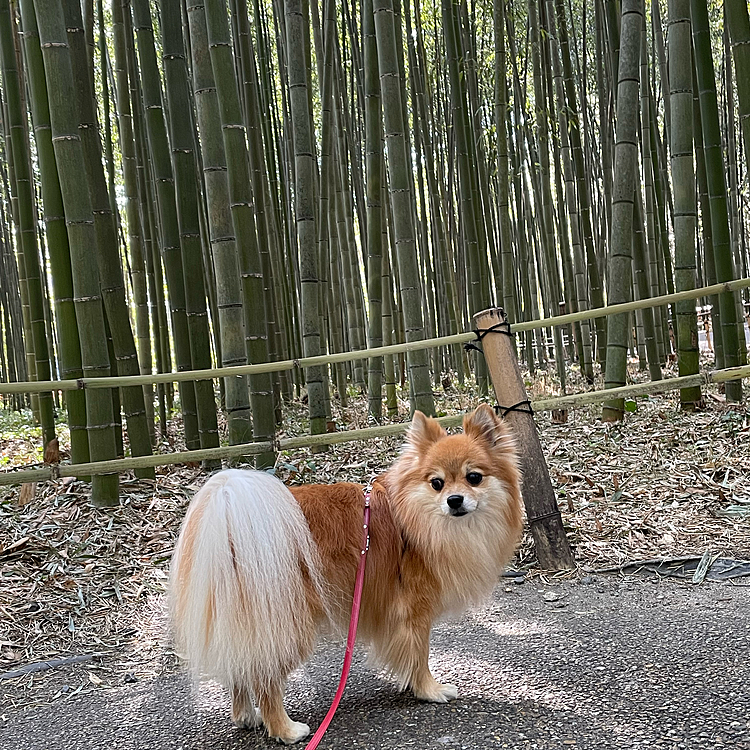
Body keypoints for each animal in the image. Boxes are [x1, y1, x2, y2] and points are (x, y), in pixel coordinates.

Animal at [170, 402, 524, 744]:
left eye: (474, 477)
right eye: (436, 483)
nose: (454, 500)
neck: (415, 518)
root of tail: (230, 522)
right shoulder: (415, 613)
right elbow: (419, 655)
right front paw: (429, 690)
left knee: (241, 668)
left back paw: (246, 716)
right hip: (288, 624)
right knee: (264, 677)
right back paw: (285, 729)